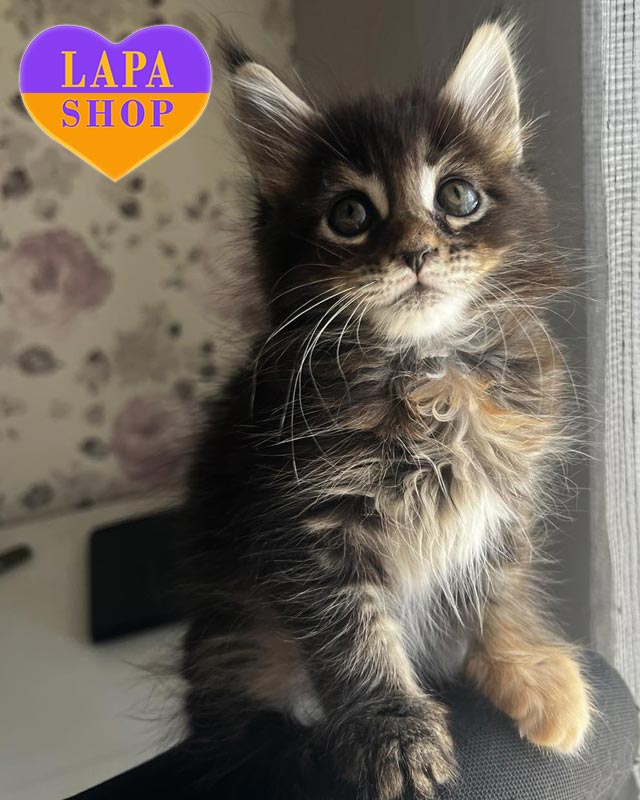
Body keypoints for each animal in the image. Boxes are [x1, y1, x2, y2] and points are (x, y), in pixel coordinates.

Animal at [181, 20, 591, 800]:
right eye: (350, 215)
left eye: (457, 197)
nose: (416, 252)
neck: (425, 373)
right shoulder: (305, 527)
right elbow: (355, 639)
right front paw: (392, 734)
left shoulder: (505, 495)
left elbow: (501, 587)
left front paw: (528, 670)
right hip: (234, 642)